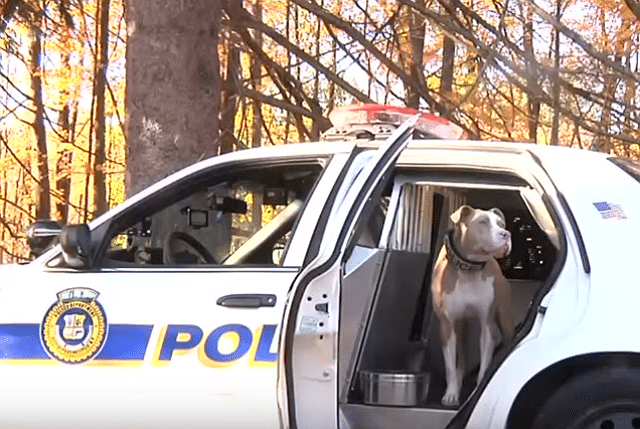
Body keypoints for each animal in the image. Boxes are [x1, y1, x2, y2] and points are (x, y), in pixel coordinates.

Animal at [430, 204, 516, 404]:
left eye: (501, 224)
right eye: (482, 222)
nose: (506, 234)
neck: (469, 269)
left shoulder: (487, 325)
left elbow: (484, 364)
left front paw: (478, 391)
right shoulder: (447, 326)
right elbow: (450, 366)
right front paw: (451, 393)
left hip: (505, 318)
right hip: (461, 325)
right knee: (461, 355)